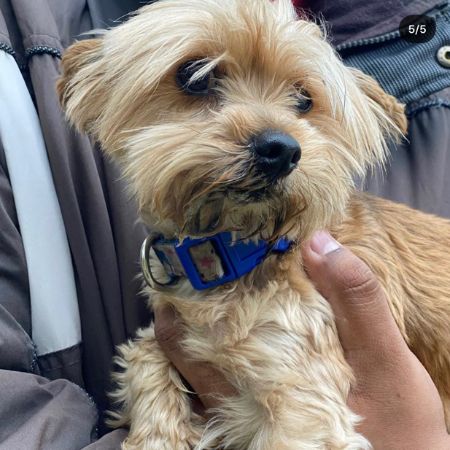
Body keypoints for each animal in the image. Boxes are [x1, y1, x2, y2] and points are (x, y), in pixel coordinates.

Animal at [57, 0, 450, 448]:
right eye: (194, 75)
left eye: (304, 99)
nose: (280, 150)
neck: (233, 250)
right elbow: (144, 355)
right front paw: (157, 433)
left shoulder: (302, 392)